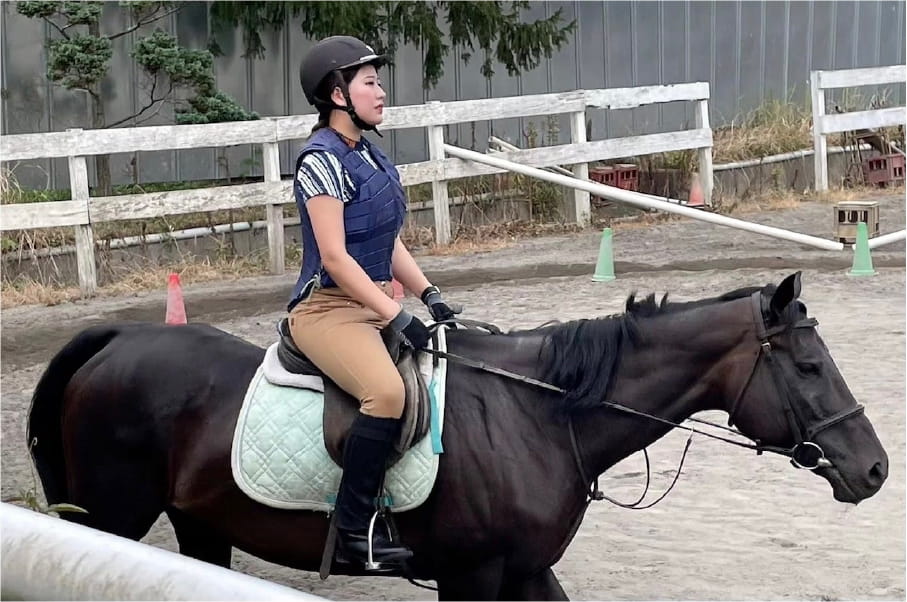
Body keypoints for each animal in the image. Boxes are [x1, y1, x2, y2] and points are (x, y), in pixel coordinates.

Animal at [26, 274, 888, 600]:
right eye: (808, 366)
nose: (875, 470)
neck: (541, 417)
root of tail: (113, 339)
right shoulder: (470, 576)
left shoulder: (525, 572)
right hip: (113, 517)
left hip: (198, 524)